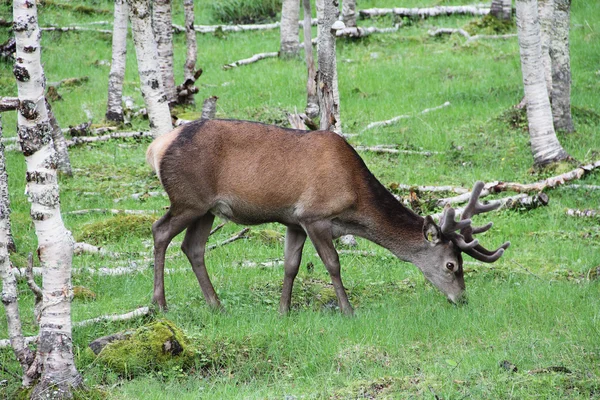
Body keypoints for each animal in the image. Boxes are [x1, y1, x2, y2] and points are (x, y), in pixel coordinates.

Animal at [148, 119, 508, 316]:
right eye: (451, 265)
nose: (462, 299)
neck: (353, 202)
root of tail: (156, 147)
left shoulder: (294, 221)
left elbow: (291, 266)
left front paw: (283, 311)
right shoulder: (314, 216)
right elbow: (333, 264)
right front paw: (348, 310)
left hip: (206, 209)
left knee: (193, 247)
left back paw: (217, 305)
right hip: (188, 199)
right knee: (160, 231)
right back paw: (160, 304)